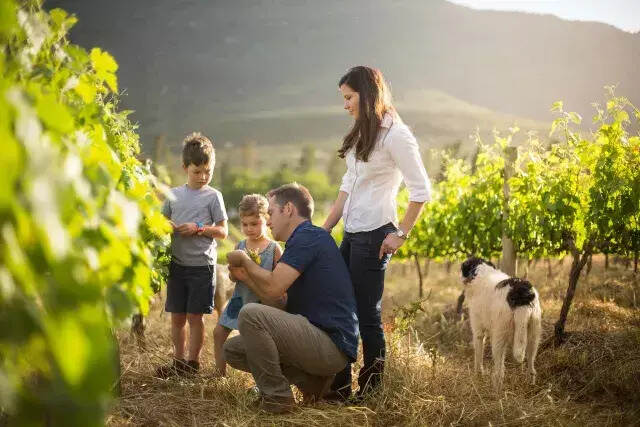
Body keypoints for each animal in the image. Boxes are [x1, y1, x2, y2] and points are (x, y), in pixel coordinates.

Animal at [458, 258, 544, 392]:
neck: (481, 272)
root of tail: (521, 294)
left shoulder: (478, 331)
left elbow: (478, 355)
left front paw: (478, 375)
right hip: (533, 336)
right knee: (532, 367)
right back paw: (531, 385)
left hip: (499, 338)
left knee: (499, 371)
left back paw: (496, 390)